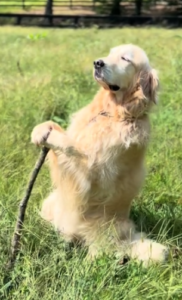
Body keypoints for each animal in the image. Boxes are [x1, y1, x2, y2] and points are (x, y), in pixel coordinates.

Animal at [30, 44, 168, 264]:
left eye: (125, 59)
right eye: (110, 53)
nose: (98, 62)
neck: (111, 113)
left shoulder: (94, 178)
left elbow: (73, 149)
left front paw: (54, 137)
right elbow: (61, 132)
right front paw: (42, 129)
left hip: (104, 238)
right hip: (51, 202)